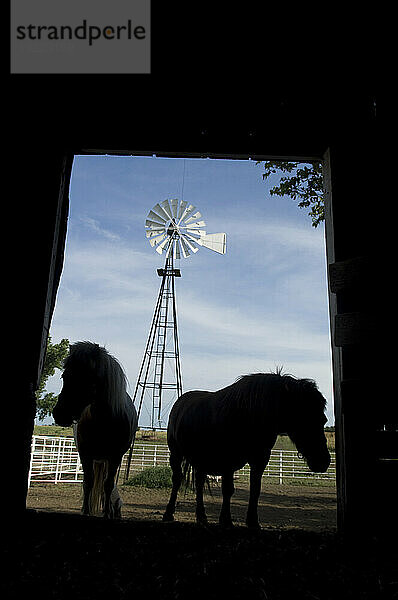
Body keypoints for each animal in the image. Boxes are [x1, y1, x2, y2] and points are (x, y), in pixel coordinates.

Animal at [52, 342, 138, 520]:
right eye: (64, 376)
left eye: (86, 378)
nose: (59, 414)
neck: (103, 421)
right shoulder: (86, 454)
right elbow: (88, 483)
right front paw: (86, 511)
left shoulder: (115, 457)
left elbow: (108, 485)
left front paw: (107, 513)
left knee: (107, 485)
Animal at [163, 370, 332, 528]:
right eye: (303, 419)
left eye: (323, 420)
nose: (323, 461)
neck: (248, 415)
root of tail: (179, 404)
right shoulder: (227, 462)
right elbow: (228, 489)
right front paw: (226, 520)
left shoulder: (259, 460)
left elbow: (255, 489)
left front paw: (253, 521)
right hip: (176, 455)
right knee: (177, 480)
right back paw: (169, 513)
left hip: (200, 460)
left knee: (199, 483)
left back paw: (202, 517)